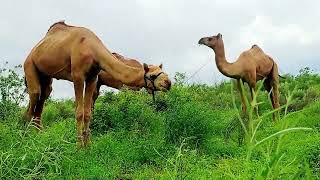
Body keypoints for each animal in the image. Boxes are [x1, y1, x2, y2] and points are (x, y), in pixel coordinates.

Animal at [24, 21, 172, 148]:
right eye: (153, 75)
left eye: (164, 72)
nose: (168, 83)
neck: (92, 49)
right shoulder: (78, 76)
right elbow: (79, 112)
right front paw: (78, 146)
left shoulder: (93, 78)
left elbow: (88, 112)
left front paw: (88, 145)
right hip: (29, 64)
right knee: (34, 96)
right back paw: (25, 136)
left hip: (46, 75)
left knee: (42, 98)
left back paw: (39, 136)